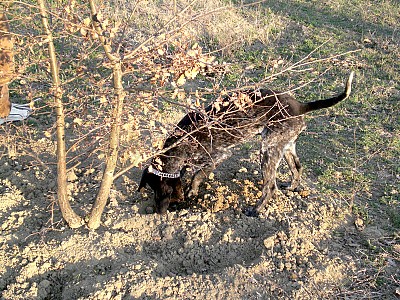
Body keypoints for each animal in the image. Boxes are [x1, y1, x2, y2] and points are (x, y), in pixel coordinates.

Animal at [138, 71, 354, 214]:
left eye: (159, 190)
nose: (158, 212)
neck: (179, 144)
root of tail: (301, 106)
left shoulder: (218, 155)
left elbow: (197, 175)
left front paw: (192, 190)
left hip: (267, 151)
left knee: (270, 187)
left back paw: (255, 210)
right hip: (285, 146)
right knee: (297, 168)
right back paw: (292, 187)